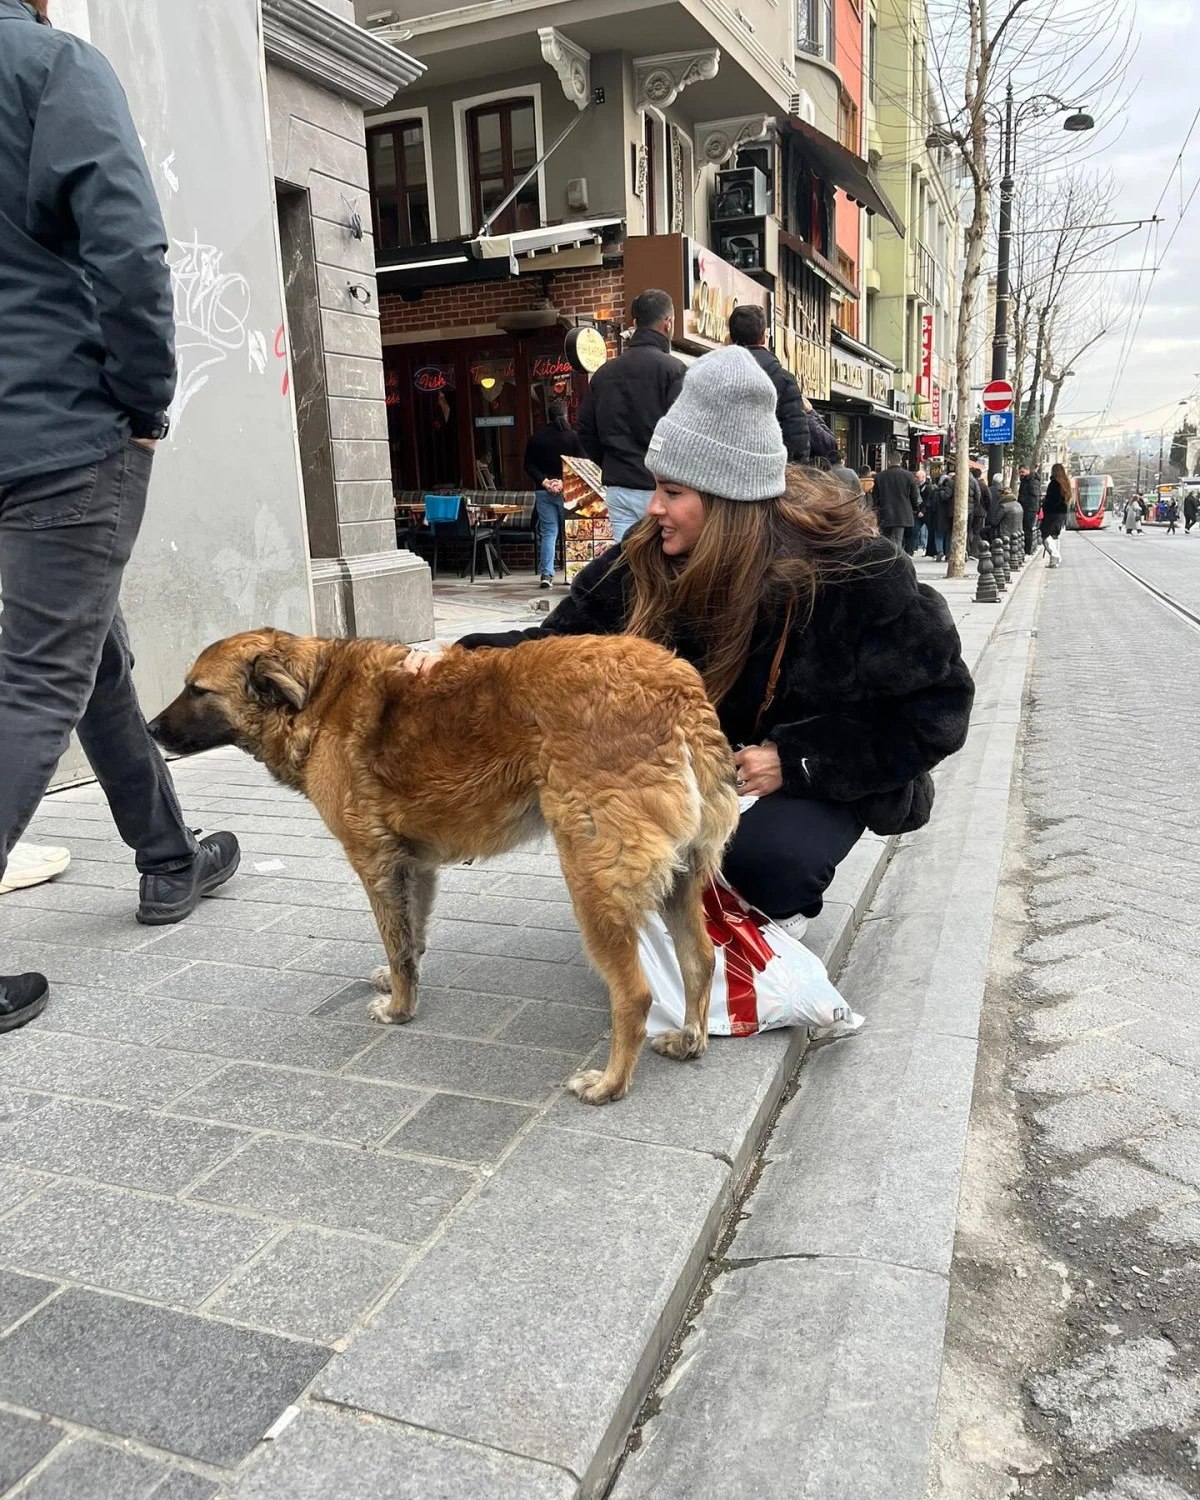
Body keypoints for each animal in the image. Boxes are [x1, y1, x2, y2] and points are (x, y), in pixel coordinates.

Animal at [152, 630, 741, 1104]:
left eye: (198, 690)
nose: (152, 728)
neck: (316, 695)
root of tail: (678, 689)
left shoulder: (374, 862)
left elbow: (396, 941)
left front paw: (399, 1008)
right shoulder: (415, 865)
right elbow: (410, 939)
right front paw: (400, 984)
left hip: (594, 881)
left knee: (635, 995)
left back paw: (610, 1084)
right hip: (680, 878)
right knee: (701, 959)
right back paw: (690, 1040)